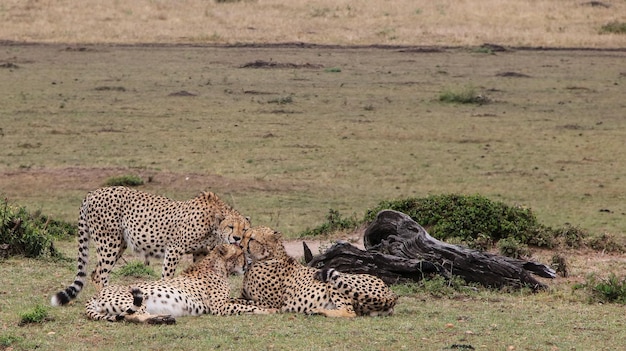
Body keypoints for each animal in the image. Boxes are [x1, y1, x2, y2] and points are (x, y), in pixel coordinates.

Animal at [51, 188, 250, 306]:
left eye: (245, 229)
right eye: (231, 226)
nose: (237, 238)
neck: (212, 224)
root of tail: (92, 193)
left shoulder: (200, 252)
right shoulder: (174, 249)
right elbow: (167, 277)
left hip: (118, 244)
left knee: (95, 273)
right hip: (109, 242)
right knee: (101, 274)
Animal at [85, 245, 272, 324]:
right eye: (240, 253)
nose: (248, 262)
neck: (217, 267)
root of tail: (96, 293)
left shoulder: (227, 301)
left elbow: (245, 301)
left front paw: (266, 305)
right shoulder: (219, 307)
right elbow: (246, 307)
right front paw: (268, 310)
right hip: (137, 301)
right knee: (134, 316)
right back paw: (163, 319)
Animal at [236, 227, 398, 318]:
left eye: (251, 239)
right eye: (244, 236)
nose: (240, 245)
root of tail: (390, 291)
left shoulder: (270, 303)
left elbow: (240, 301)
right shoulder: (246, 296)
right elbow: (238, 299)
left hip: (334, 281)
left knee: (349, 312)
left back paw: (318, 311)